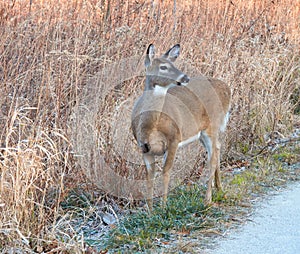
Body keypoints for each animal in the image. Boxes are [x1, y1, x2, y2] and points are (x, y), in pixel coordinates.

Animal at [130, 44, 231, 210]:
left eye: (174, 64)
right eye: (163, 67)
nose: (185, 78)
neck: (152, 127)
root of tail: (227, 89)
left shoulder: (174, 139)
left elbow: (166, 172)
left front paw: (164, 207)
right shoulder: (143, 147)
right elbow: (149, 176)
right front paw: (150, 210)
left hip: (212, 126)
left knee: (212, 158)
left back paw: (207, 199)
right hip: (202, 133)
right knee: (218, 147)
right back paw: (220, 189)